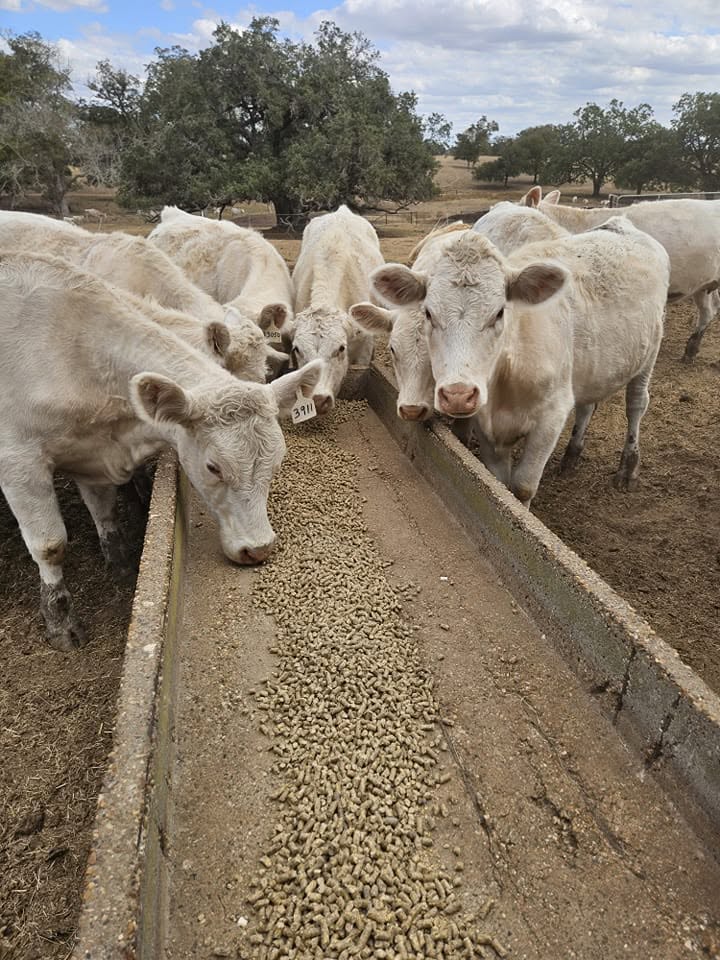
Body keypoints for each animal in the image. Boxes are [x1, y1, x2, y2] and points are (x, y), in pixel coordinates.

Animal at [0, 252, 323, 651]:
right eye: (213, 467)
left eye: (276, 464)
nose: (259, 549)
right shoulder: (19, 463)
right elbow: (50, 545)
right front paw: (61, 622)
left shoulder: (90, 454)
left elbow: (104, 512)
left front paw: (123, 565)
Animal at [369, 219, 670, 507]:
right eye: (429, 313)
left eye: (500, 312)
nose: (458, 395)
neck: (506, 377)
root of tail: (621, 225)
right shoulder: (486, 425)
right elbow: (501, 484)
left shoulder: (551, 417)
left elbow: (523, 487)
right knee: (588, 405)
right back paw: (571, 457)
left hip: (650, 351)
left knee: (636, 404)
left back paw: (628, 468)